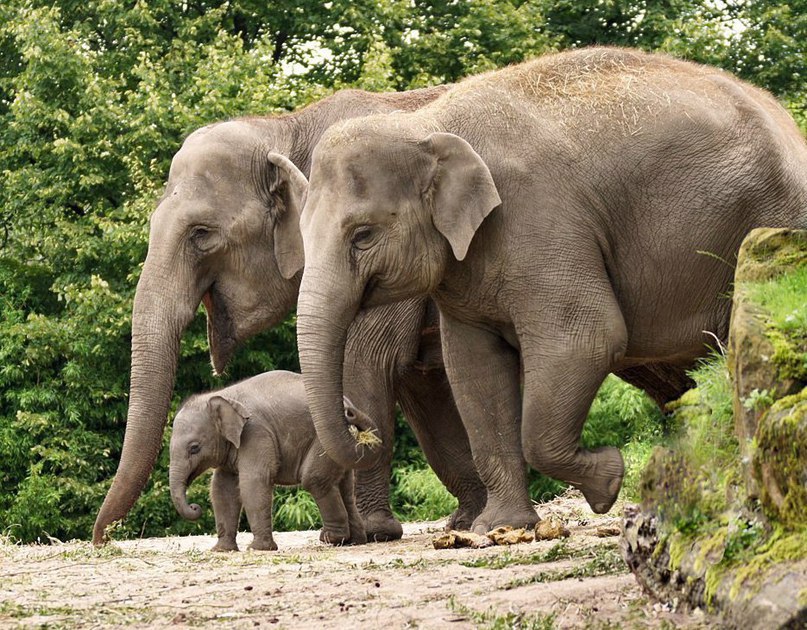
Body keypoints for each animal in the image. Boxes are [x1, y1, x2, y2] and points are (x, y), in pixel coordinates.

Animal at [169, 370, 378, 552]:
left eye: (194, 448)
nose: (195, 507)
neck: (222, 396)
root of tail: (347, 403)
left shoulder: (256, 433)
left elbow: (254, 481)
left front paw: (257, 549)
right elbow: (222, 487)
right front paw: (221, 550)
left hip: (322, 441)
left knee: (314, 480)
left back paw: (330, 538)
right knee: (344, 486)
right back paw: (354, 541)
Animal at [292, 47, 807, 536]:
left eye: (363, 235)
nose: (361, 427)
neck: (426, 123)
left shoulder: (540, 219)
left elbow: (586, 337)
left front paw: (608, 480)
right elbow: (473, 369)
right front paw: (501, 527)